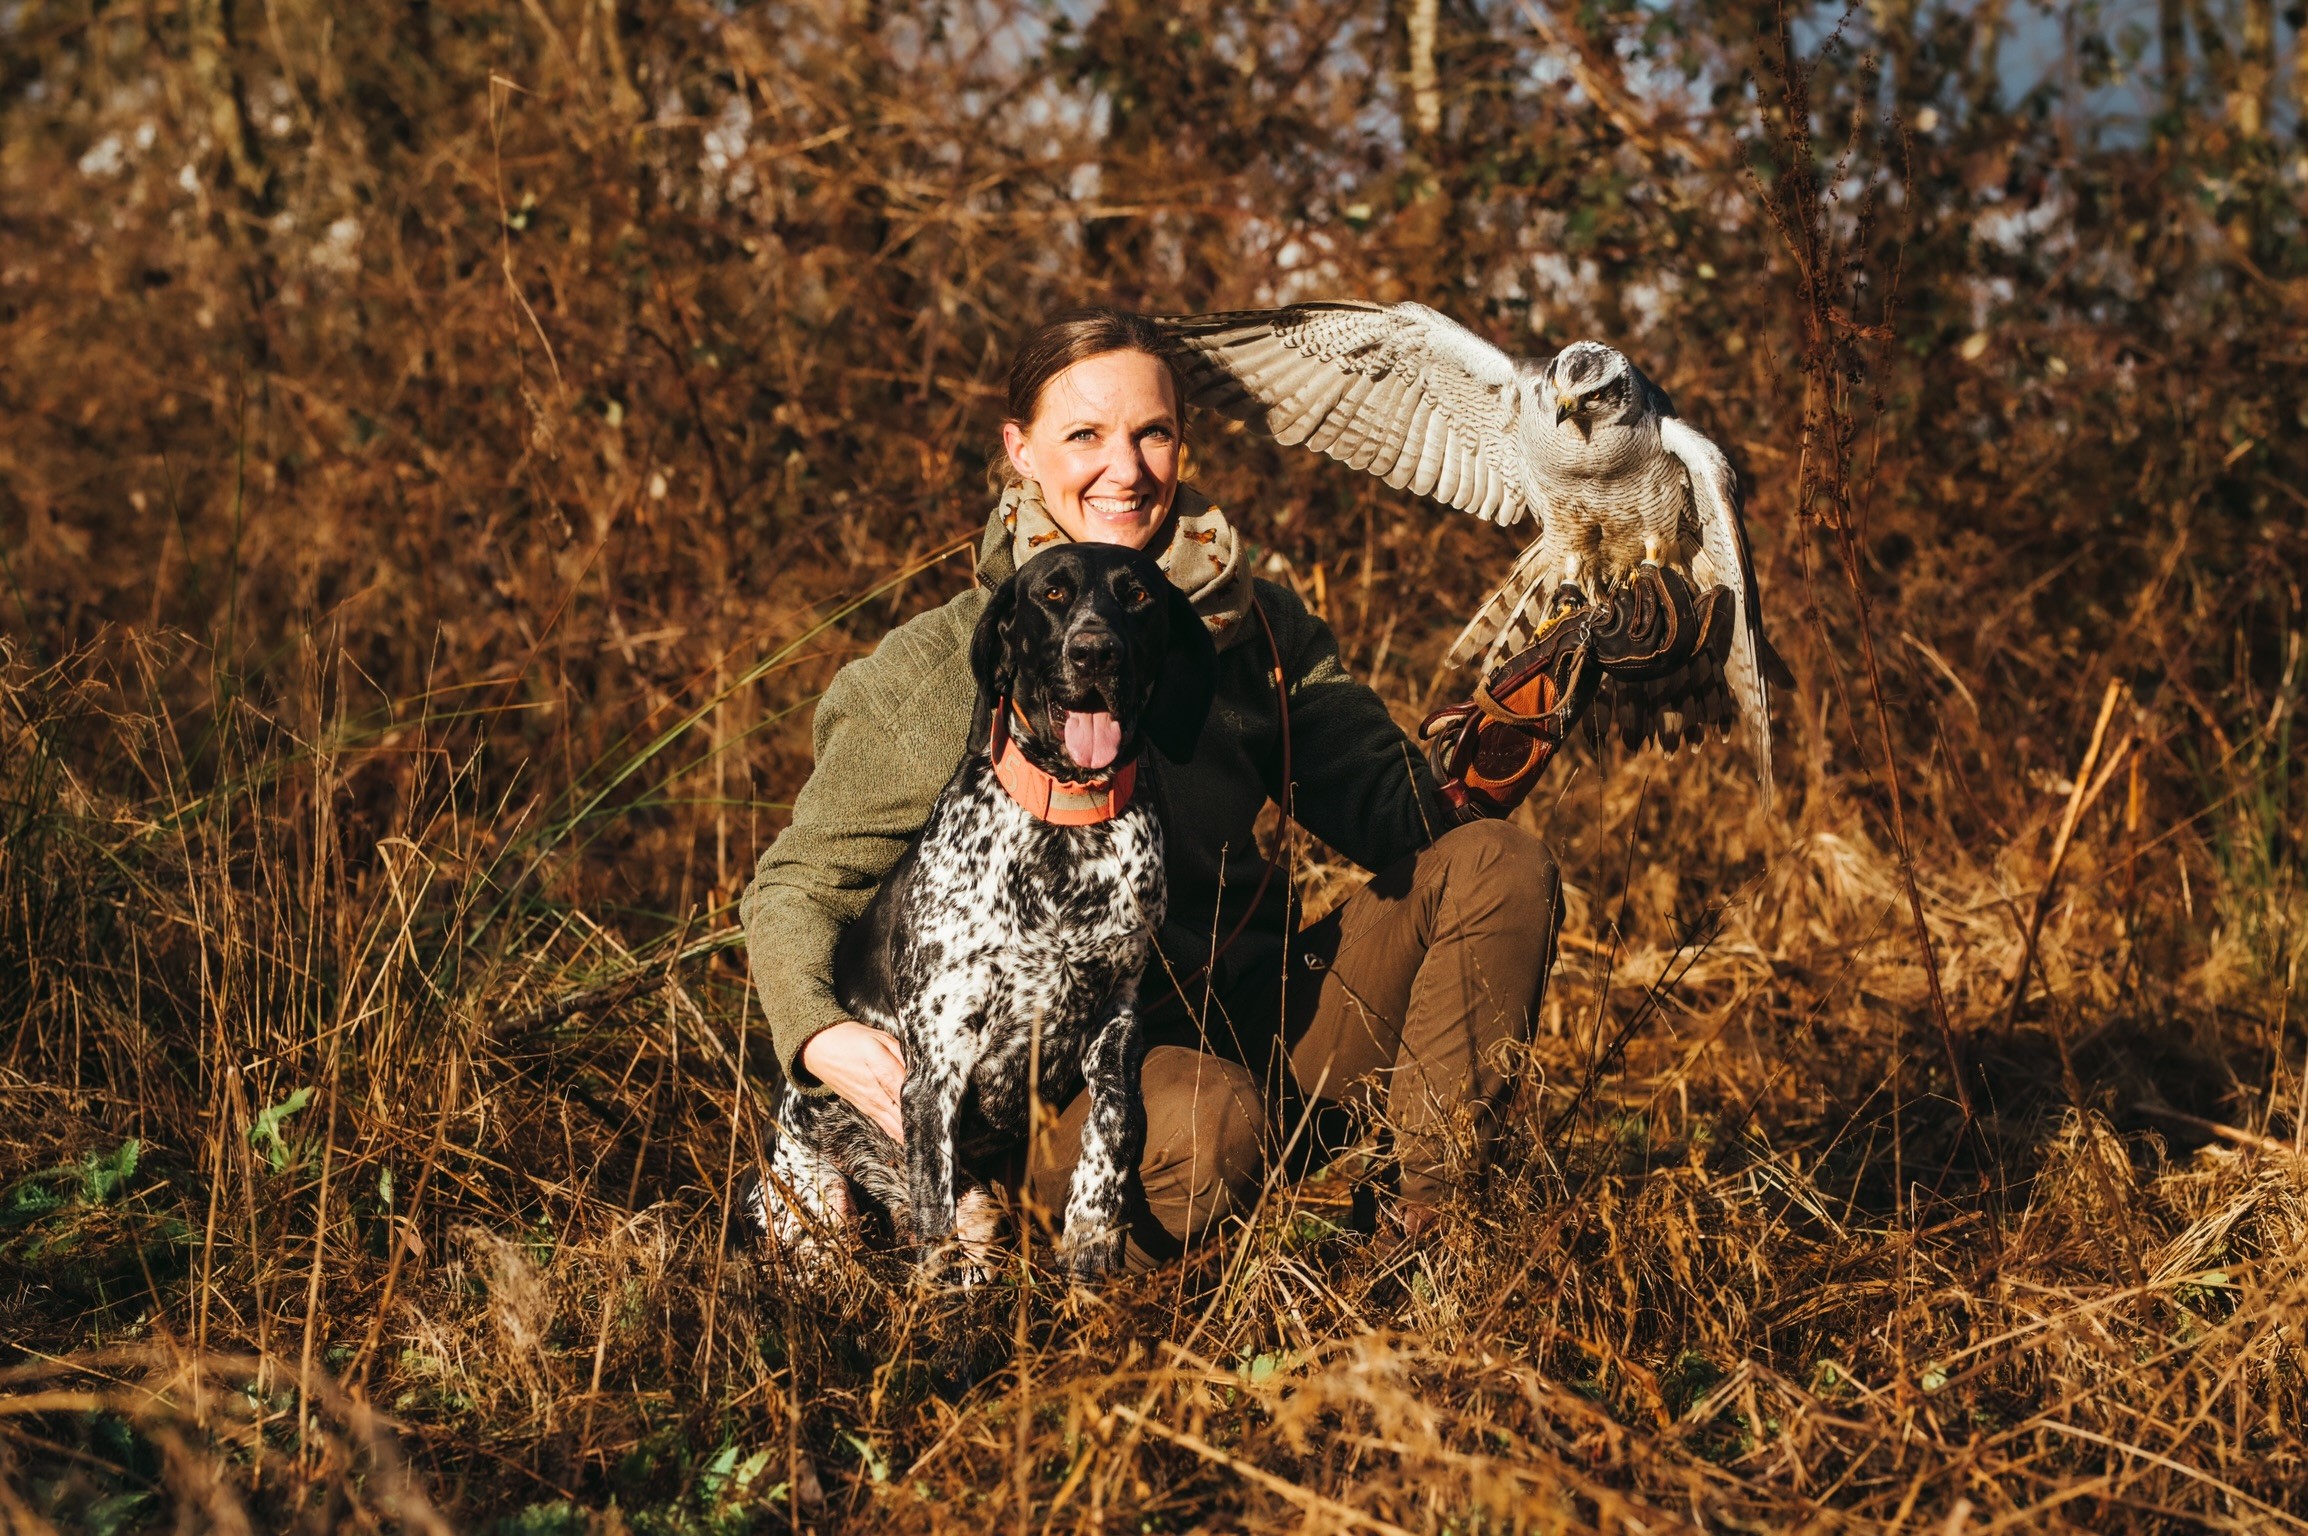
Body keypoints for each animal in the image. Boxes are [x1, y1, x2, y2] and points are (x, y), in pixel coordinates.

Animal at [754, 543, 1217, 1281]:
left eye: (1138, 595)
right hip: (813, 1208)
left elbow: (1116, 1122)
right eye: (1053, 593)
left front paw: (1093, 1230)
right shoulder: (937, 1065)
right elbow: (934, 1213)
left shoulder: (1116, 1015)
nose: (1095, 652)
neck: (1066, 827)